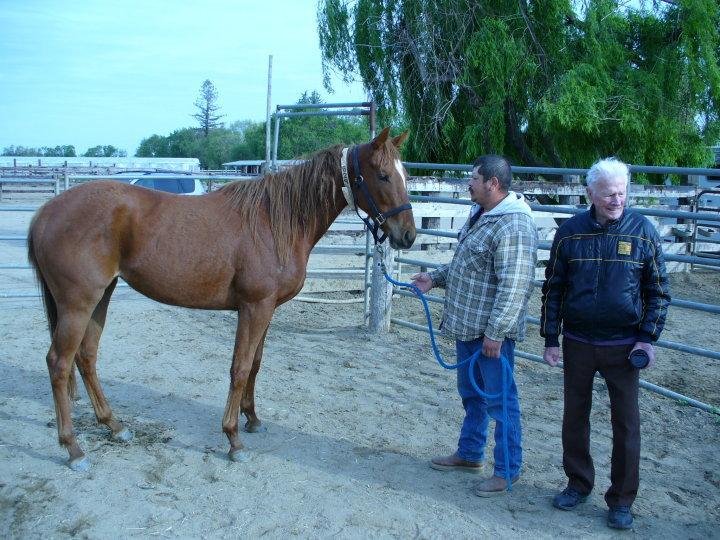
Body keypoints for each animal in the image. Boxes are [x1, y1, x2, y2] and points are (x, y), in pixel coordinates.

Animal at [27, 127, 416, 471]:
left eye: (405, 174)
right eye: (383, 175)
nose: (408, 236)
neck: (276, 222)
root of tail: (45, 212)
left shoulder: (266, 309)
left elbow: (255, 364)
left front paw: (252, 418)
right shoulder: (254, 307)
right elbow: (239, 368)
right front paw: (233, 439)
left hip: (100, 298)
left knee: (86, 358)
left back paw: (115, 426)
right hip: (78, 304)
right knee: (59, 363)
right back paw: (73, 449)